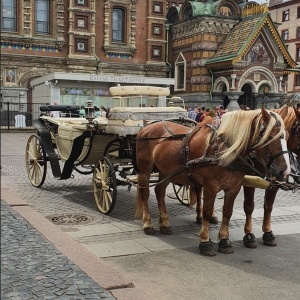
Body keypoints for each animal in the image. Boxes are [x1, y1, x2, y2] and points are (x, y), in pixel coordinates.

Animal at [135, 105, 290, 255]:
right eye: (270, 137)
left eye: (286, 136)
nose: (285, 171)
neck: (224, 150)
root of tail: (146, 128)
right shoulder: (211, 186)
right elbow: (207, 212)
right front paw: (205, 242)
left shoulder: (234, 187)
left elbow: (227, 212)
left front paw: (224, 241)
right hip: (145, 169)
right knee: (145, 193)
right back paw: (148, 224)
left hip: (166, 171)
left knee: (159, 191)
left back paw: (165, 223)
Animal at [243, 105, 300, 248]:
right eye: (270, 137)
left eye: (287, 136)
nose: (286, 171)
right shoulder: (248, 180)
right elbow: (249, 206)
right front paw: (249, 235)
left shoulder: (275, 183)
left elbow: (268, 206)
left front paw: (268, 232)